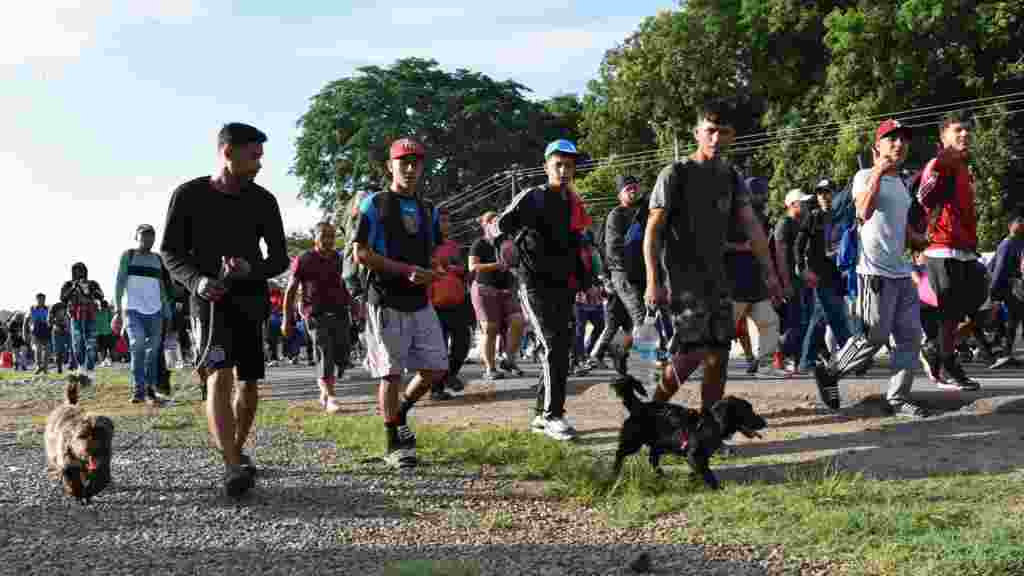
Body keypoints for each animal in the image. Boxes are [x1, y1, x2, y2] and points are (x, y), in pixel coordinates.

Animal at [606, 373, 770, 487]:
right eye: (748, 411)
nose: (765, 423)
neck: (713, 423)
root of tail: (638, 406)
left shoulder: (699, 457)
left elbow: (700, 470)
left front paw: (692, 479)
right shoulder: (694, 455)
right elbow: (707, 472)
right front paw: (716, 488)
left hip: (661, 444)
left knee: (652, 458)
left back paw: (661, 475)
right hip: (633, 442)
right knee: (620, 453)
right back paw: (614, 473)